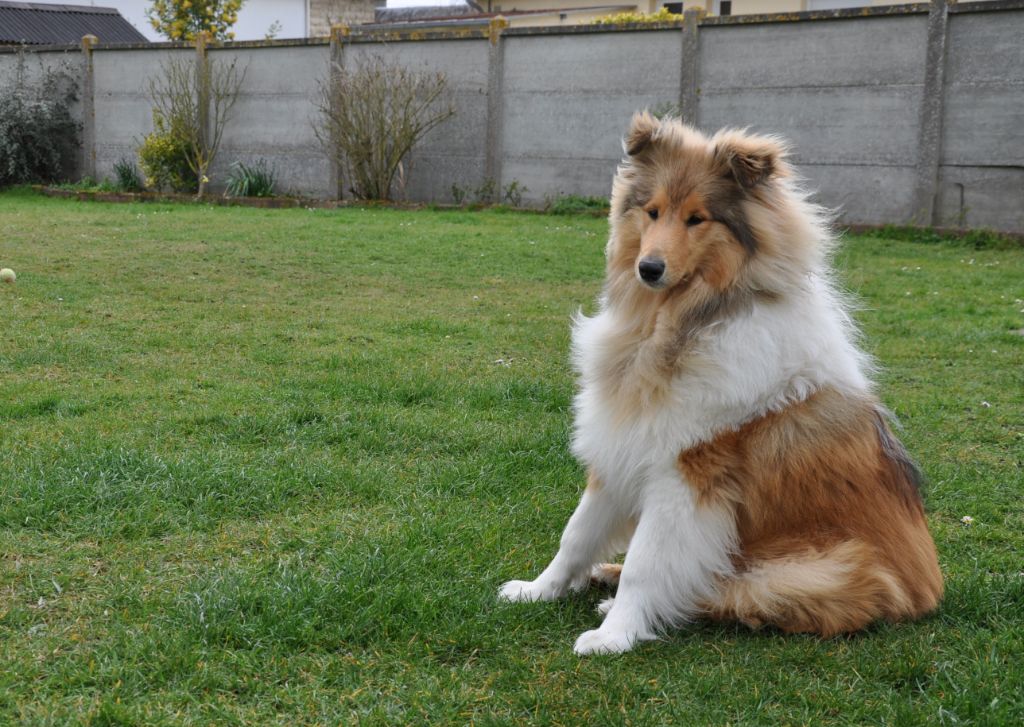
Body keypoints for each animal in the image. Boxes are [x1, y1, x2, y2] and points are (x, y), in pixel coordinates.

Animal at [498, 113, 943, 655]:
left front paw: (615, 635)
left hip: (819, 572)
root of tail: (928, 592)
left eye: (697, 218)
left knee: (724, 590)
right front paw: (537, 590)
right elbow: (576, 535)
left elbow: (648, 564)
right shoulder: (622, 444)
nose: (649, 269)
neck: (674, 327)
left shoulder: (686, 474)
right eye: (652, 212)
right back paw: (606, 574)